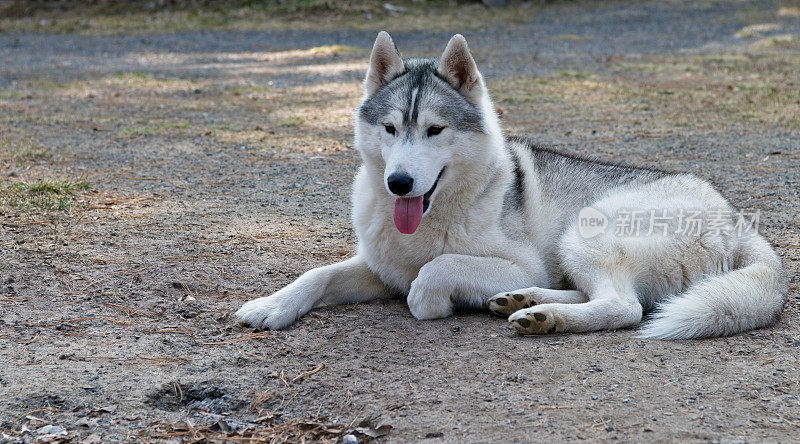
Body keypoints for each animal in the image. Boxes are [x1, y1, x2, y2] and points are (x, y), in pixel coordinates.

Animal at [234, 31, 784, 338]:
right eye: (390, 129)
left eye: (435, 130)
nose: (399, 182)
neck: (437, 214)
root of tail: (737, 220)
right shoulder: (379, 267)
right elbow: (318, 274)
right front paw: (272, 306)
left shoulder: (512, 261)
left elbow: (433, 271)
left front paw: (433, 301)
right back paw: (525, 303)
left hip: (583, 234)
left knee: (624, 307)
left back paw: (545, 317)